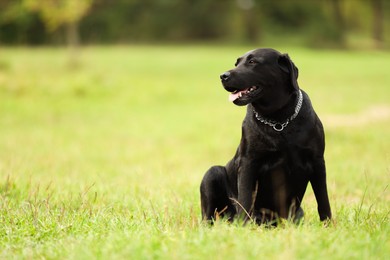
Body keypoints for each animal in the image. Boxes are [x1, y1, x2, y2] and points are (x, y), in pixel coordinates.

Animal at [201, 48, 332, 225]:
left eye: (252, 62)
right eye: (237, 63)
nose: (223, 75)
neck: (278, 120)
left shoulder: (317, 161)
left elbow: (323, 199)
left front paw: (328, 225)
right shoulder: (248, 162)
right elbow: (245, 199)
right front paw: (244, 226)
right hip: (212, 173)